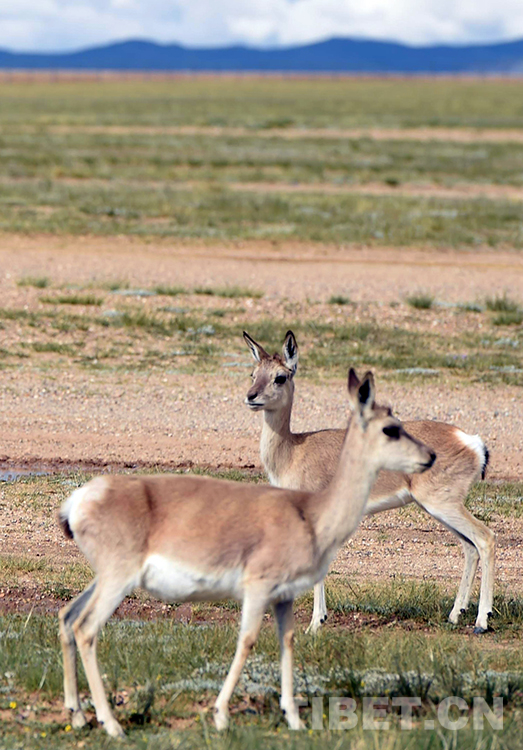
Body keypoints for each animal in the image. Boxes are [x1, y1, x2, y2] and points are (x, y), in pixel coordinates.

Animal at [58, 369, 435, 738]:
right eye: (390, 427)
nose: (430, 456)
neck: (310, 514)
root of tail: (82, 498)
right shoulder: (258, 589)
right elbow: (247, 640)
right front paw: (221, 714)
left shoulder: (283, 597)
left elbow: (287, 641)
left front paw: (293, 718)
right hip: (117, 581)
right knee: (86, 630)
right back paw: (112, 724)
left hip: (104, 580)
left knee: (68, 616)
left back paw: (79, 716)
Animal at [243, 330, 494, 636]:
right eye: (254, 373)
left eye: (280, 376)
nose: (251, 396)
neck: (294, 449)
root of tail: (471, 441)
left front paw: (315, 623)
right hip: (438, 508)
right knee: (469, 547)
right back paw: (455, 615)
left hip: (443, 505)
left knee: (485, 538)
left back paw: (482, 621)